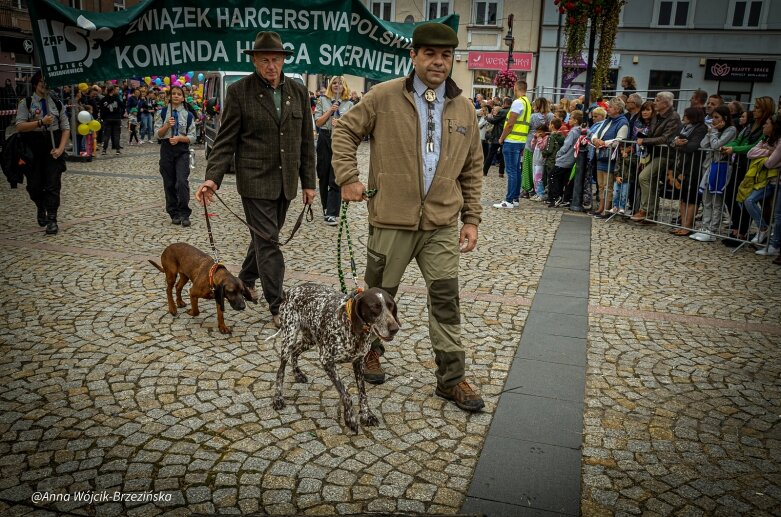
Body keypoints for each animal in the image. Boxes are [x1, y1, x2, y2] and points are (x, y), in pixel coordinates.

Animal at [270, 282, 402, 432]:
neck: (351, 326)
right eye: (375, 307)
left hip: (309, 339)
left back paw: (298, 374)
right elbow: (345, 393)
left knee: (295, 351)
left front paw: (366, 414)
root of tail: (290, 290)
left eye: (391, 306)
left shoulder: (358, 362)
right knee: (280, 370)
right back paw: (278, 399)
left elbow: (362, 393)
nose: (395, 329)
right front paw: (350, 418)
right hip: (289, 336)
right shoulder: (326, 360)